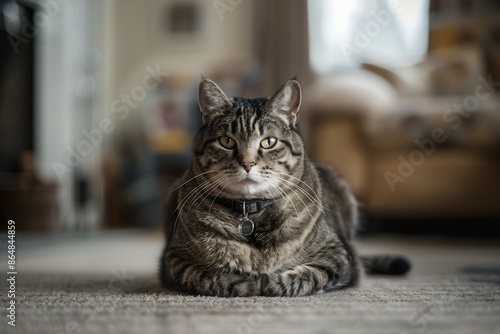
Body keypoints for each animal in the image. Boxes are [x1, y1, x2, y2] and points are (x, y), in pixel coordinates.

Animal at [160, 79, 410, 298]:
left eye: (269, 142)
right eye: (227, 141)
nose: (247, 164)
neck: (251, 216)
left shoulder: (341, 257)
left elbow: (308, 276)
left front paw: (269, 281)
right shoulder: (174, 259)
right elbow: (208, 276)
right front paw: (247, 281)